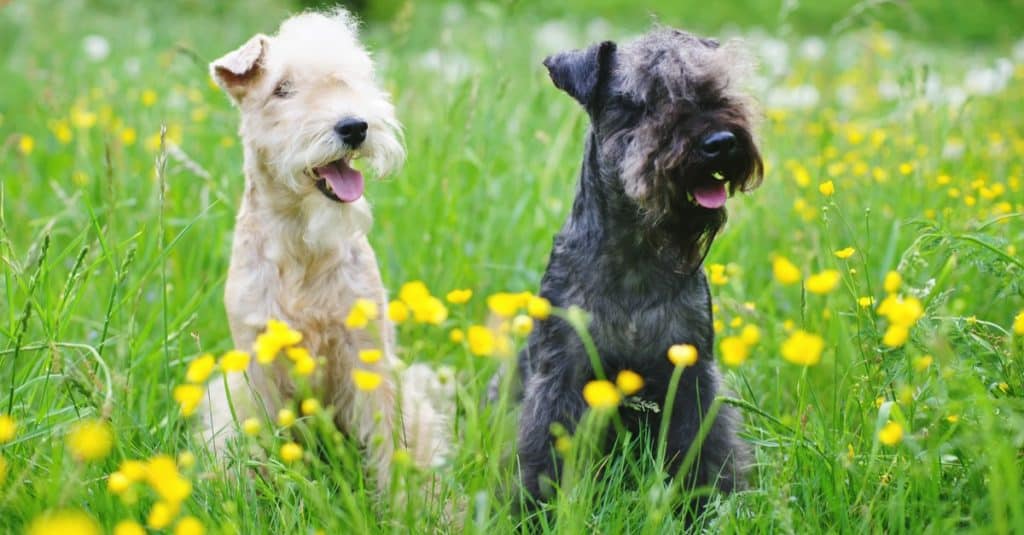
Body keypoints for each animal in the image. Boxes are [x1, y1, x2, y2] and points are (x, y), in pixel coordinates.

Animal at [203, 7, 448, 483]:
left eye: (350, 80)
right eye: (282, 89)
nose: (354, 126)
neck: (302, 245)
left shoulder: (365, 355)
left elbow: (389, 443)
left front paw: (401, 498)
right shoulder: (259, 364)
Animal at [509, 29, 761, 508]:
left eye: (715, 89)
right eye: (645, 102)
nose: (721, 141)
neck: (636, 259)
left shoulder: (691, 373)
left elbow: (705, 450)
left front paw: (705, 507)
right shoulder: (562, 378)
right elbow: (544, 458)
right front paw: (536, 512)